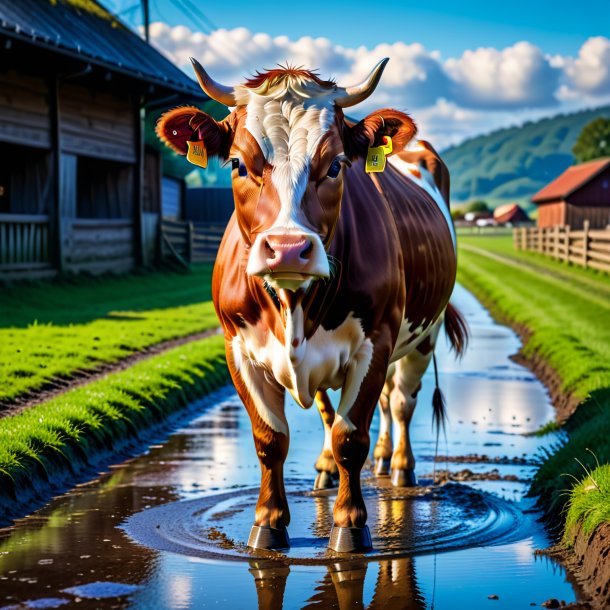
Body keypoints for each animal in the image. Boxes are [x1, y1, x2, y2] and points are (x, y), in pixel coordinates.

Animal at [156, 57, 466, 552]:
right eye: (239, 163)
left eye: (336, 165)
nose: (286, 249)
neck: (293, 307)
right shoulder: (237, 347)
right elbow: (271, 438)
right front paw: (268, 524)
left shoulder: (376, 342)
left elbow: (350, 437)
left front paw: (350, 526)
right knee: (343, 408)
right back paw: (334, 468)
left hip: (424, 335)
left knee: (400, 402)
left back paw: (399, 465)